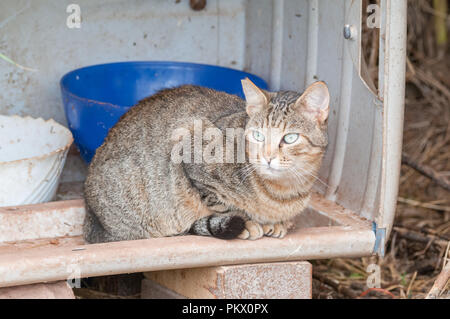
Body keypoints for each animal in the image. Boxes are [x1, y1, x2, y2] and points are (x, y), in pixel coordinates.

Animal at [84, 79, 328, 244]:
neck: (283, 191)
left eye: (290, 138)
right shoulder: (189, 144)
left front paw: (277, 223)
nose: (267, 157)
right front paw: (249, 222)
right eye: (258, 135)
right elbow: (222, 204)